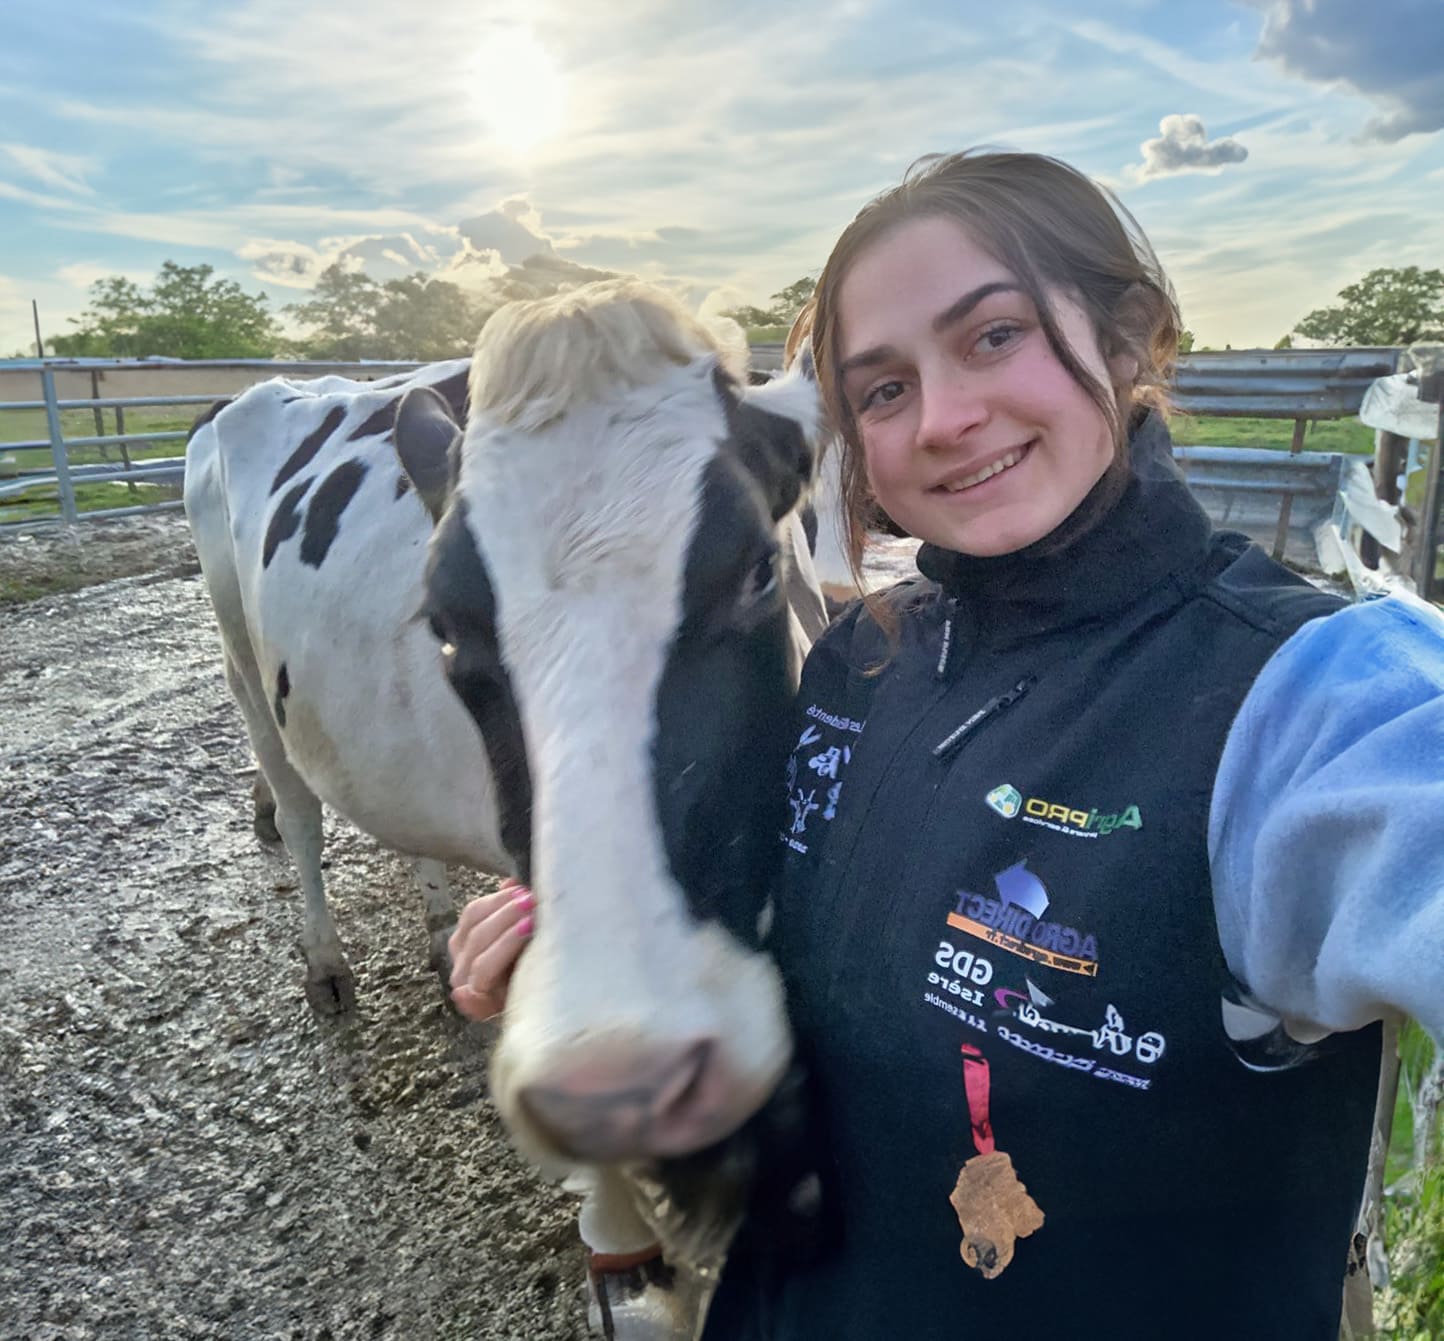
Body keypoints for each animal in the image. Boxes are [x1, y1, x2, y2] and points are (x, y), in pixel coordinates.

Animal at [186, 280, 831, 1258]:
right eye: (446, 625)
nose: (626, 1079)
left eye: (761, 570)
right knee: (296, 814)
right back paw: (327, 962)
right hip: (243, 669)